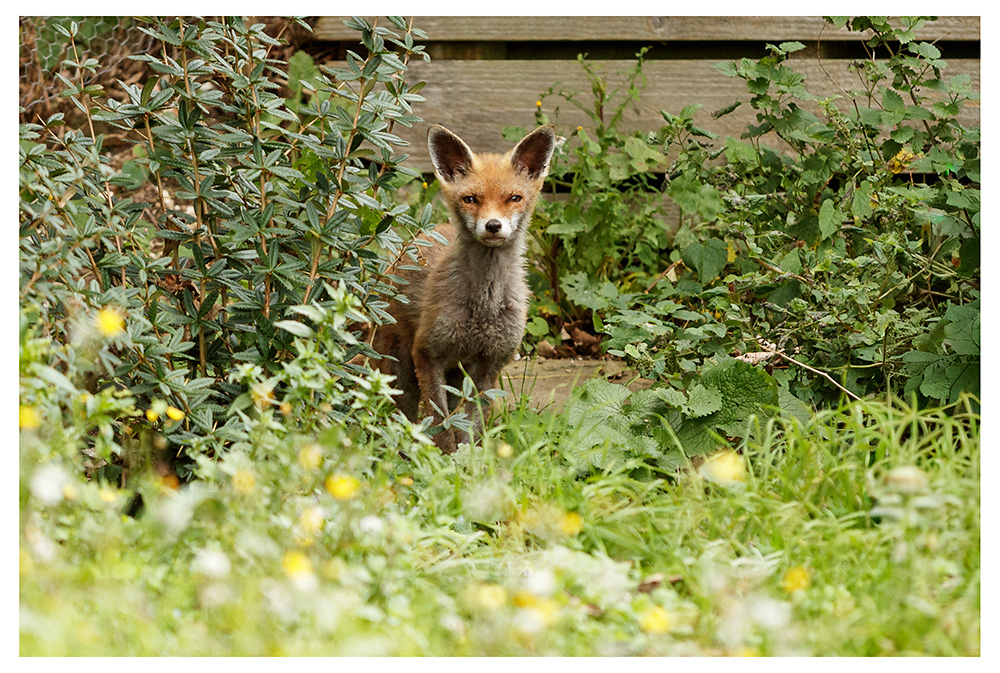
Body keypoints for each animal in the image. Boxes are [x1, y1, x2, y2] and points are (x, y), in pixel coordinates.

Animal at [371, 123, 557, 453]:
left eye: (514, 198)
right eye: (471, 199)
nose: (493, 225)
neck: (484, 305)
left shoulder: (491, 363)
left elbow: (472, 422)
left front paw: (468, 456)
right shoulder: (427, 352)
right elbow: (439, 418)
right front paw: (443, 458)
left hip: (457, 374)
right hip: (402, 368)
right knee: (404, 412)